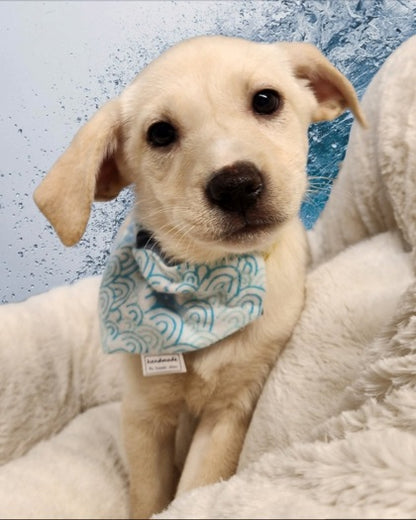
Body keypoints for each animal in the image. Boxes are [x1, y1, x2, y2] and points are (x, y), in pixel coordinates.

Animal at [33, 34, 364, 516]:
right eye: (160, 133)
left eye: (266, 100)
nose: (237, 185)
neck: (203, 283)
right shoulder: (143, 412)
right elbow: (148, 495)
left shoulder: (231, 409)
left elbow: (194, 489)